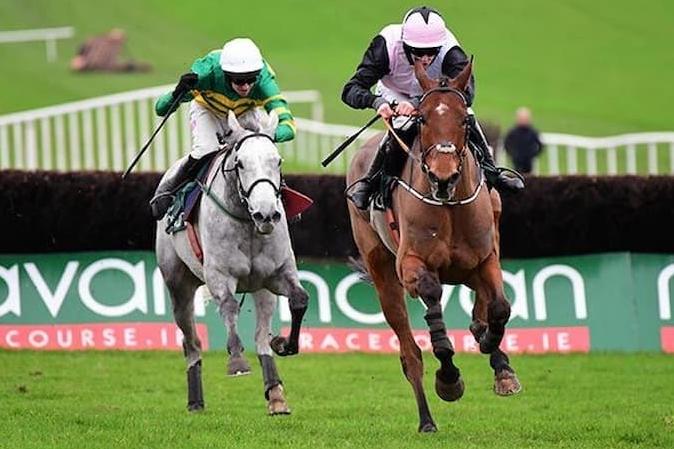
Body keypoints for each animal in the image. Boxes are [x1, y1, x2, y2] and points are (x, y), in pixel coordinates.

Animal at [155, 107, 308, 412]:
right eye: (240, 164)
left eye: (277, 161)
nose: (266, 214)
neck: (247, 223)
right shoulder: (219, 275)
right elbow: (228, 307)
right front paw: (237, 361)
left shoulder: (278, 273)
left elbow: (299, 299)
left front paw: (284, 344)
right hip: (178, 285)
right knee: (191, 342)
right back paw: (195, 400)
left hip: (262, 290)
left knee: (260, 337)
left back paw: (276, 394)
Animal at [346, 60, 520, 430]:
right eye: (422, 118)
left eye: (465, 120)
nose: (444, 177)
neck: (449, 205)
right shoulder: (410, 264)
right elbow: (432, 299)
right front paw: (449, 377)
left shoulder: (485, 258)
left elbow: (499, 307)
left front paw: (497, 358)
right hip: (382, 271)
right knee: (409, 353)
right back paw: (426, 418)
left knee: (483, 304)